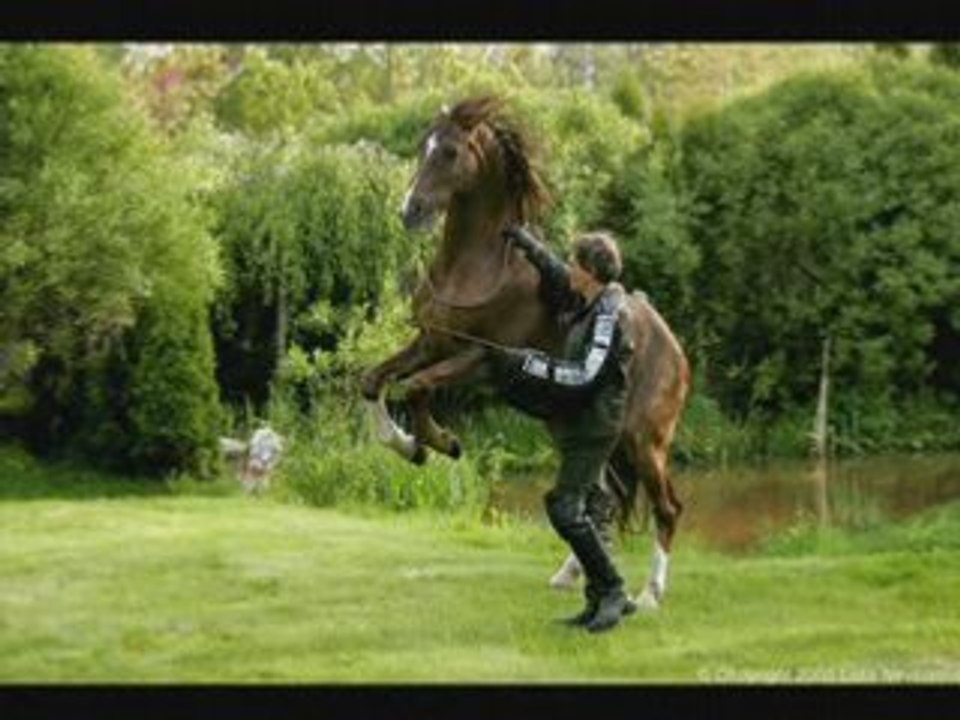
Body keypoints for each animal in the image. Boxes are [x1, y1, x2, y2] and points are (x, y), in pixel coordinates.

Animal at [361, 96, 690, 609]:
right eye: (422, 146)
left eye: (450, 152)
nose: (410, 211)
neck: (473, 268)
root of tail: (675, 350)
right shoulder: (431, 342)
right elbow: (372, 380)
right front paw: (405, 445)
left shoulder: (479, 360)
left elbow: (414, 388)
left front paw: (439, 442)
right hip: (589, 438)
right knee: (601, 502)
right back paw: (569, 574)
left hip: (644, 441)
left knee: (667, 508)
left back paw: (650, 594)